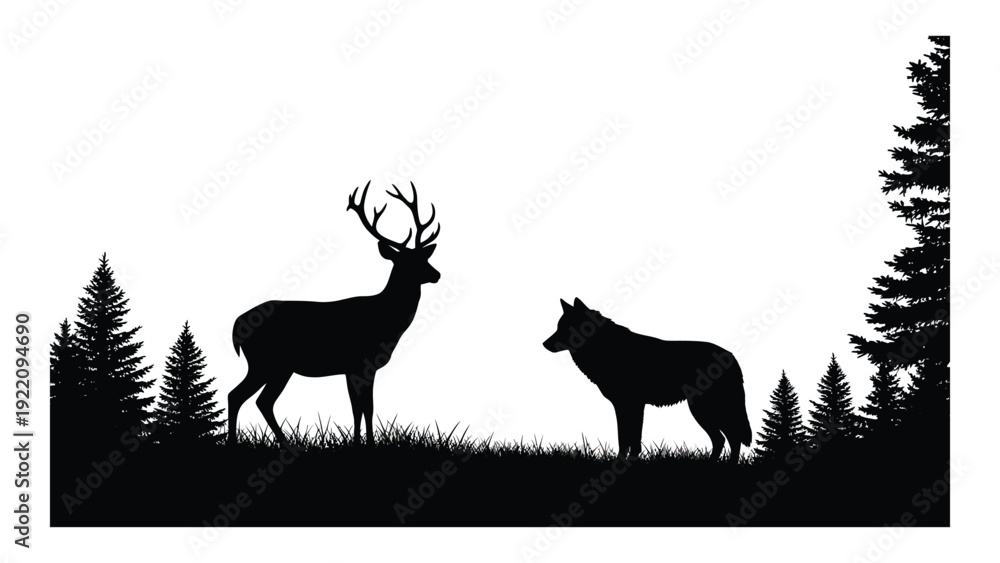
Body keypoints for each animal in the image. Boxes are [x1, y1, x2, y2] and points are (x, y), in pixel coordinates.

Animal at [228, 181, 441, 446]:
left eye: (423, 257)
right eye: (407, 261)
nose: (436, 274)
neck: (386, 321)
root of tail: (236, 326)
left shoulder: (357, 368)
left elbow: (362, 408)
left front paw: (362, 443)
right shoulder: (359, 363)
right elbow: (363, 407)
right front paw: (365, 445)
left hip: (279, 367)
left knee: (261, 401)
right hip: (265, 361)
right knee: (238, 395)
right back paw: (237, 443)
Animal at [543, 298, 751, 463]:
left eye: (565, 328)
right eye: (558, 326)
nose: (544, 344)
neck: (605, 347)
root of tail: (731, 357)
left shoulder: (632, 404)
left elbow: (630, 438)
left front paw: (626, 462)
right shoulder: (626, 405)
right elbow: (626, 438)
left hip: (704, 409)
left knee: (730, 437)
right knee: (723, 439)